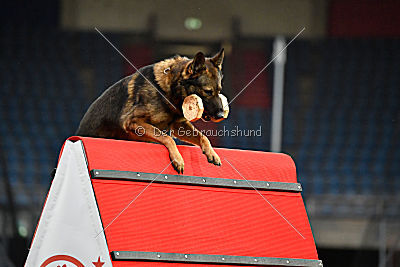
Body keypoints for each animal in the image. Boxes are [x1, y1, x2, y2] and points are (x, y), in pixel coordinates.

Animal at [76, 48, 227, 174]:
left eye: (219, 91)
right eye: (208, 91)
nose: (221, 115)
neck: (168, 91)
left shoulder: (178, 126)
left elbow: (203, 136)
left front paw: (212, 153)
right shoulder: (133, 122)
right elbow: (166, 137)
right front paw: (177, 158)